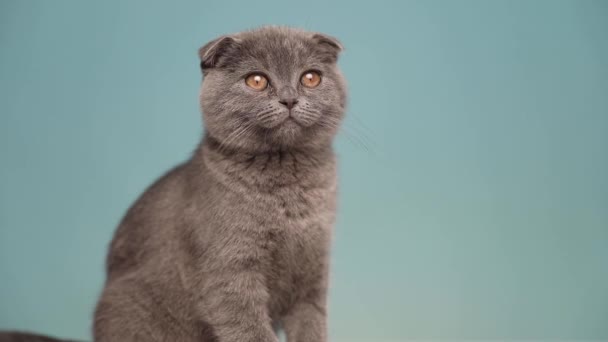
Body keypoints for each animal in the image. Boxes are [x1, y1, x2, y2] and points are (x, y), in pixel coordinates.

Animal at [0, 25, 346, 340]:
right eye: (256, 80)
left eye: (310, 78)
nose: (289, 99)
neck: (289, 192)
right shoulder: (229, 278)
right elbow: (250, 331)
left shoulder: (313, 276)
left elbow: (312, 328)